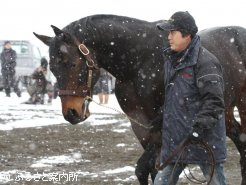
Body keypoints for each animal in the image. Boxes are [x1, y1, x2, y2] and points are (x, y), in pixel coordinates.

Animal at [33, 14, 246, 185]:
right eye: (53, 68)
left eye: (73, 63)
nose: (71, 113)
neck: (139, 62)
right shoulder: (140, 125)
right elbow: (150, 171)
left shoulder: (161, 125)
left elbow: (146, 168)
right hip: (223, 111)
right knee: (238, 137)